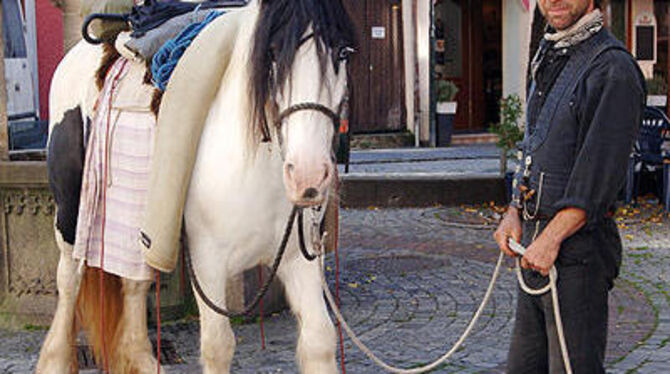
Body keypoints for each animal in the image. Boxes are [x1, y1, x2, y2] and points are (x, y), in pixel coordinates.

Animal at [35, 1, 356, 372]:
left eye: (343, 52)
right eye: (273, 53)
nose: (308, 176)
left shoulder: (298, 260)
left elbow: (319, 339)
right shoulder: (207, 262)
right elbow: (218, 345)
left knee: (133, 286)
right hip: (71, 216)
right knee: (69, 281)